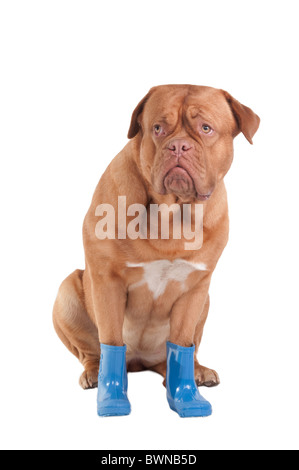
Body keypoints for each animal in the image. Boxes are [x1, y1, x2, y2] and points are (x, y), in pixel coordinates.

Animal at [54, 84, 260, 414]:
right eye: (158, 129)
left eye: (206, 128)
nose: (178, 146)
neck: (171, 212)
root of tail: (141, 362)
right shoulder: (106, 280)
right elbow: (110, 339)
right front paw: (112, 397)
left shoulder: (196, 288)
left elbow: (182, 340)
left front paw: (185, 396)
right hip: (67, 293)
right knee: (93, 350)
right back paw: (94, 374)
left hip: (205, 302)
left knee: (180, 351)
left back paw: (197, 372)